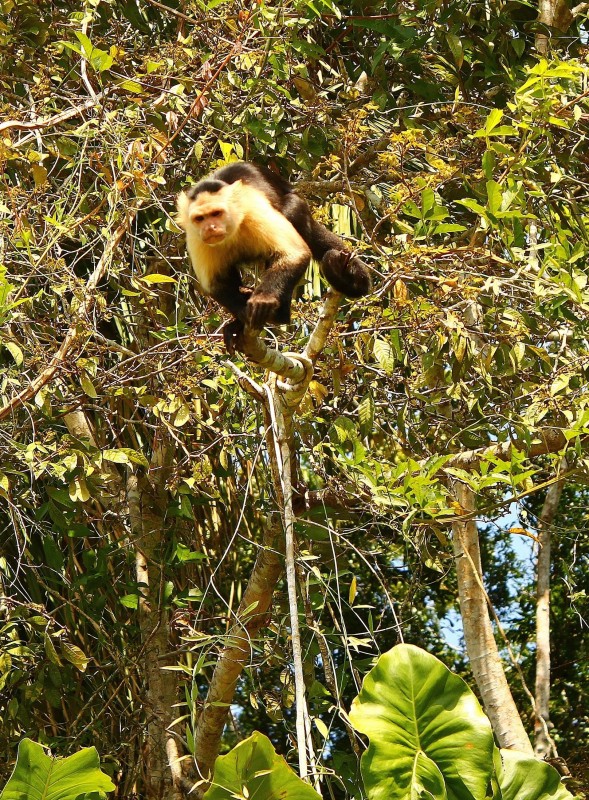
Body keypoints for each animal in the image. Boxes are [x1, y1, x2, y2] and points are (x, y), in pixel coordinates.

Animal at [175, 162, 370, 350]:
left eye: (216, 213)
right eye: (200, 218)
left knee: (290, 212)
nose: (210, 228)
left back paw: (280, 313)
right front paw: (242, 315)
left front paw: (263, 300)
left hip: (298, 207)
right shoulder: (195, 236)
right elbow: (215, 282)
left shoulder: (253, 209)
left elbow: (293, 254)